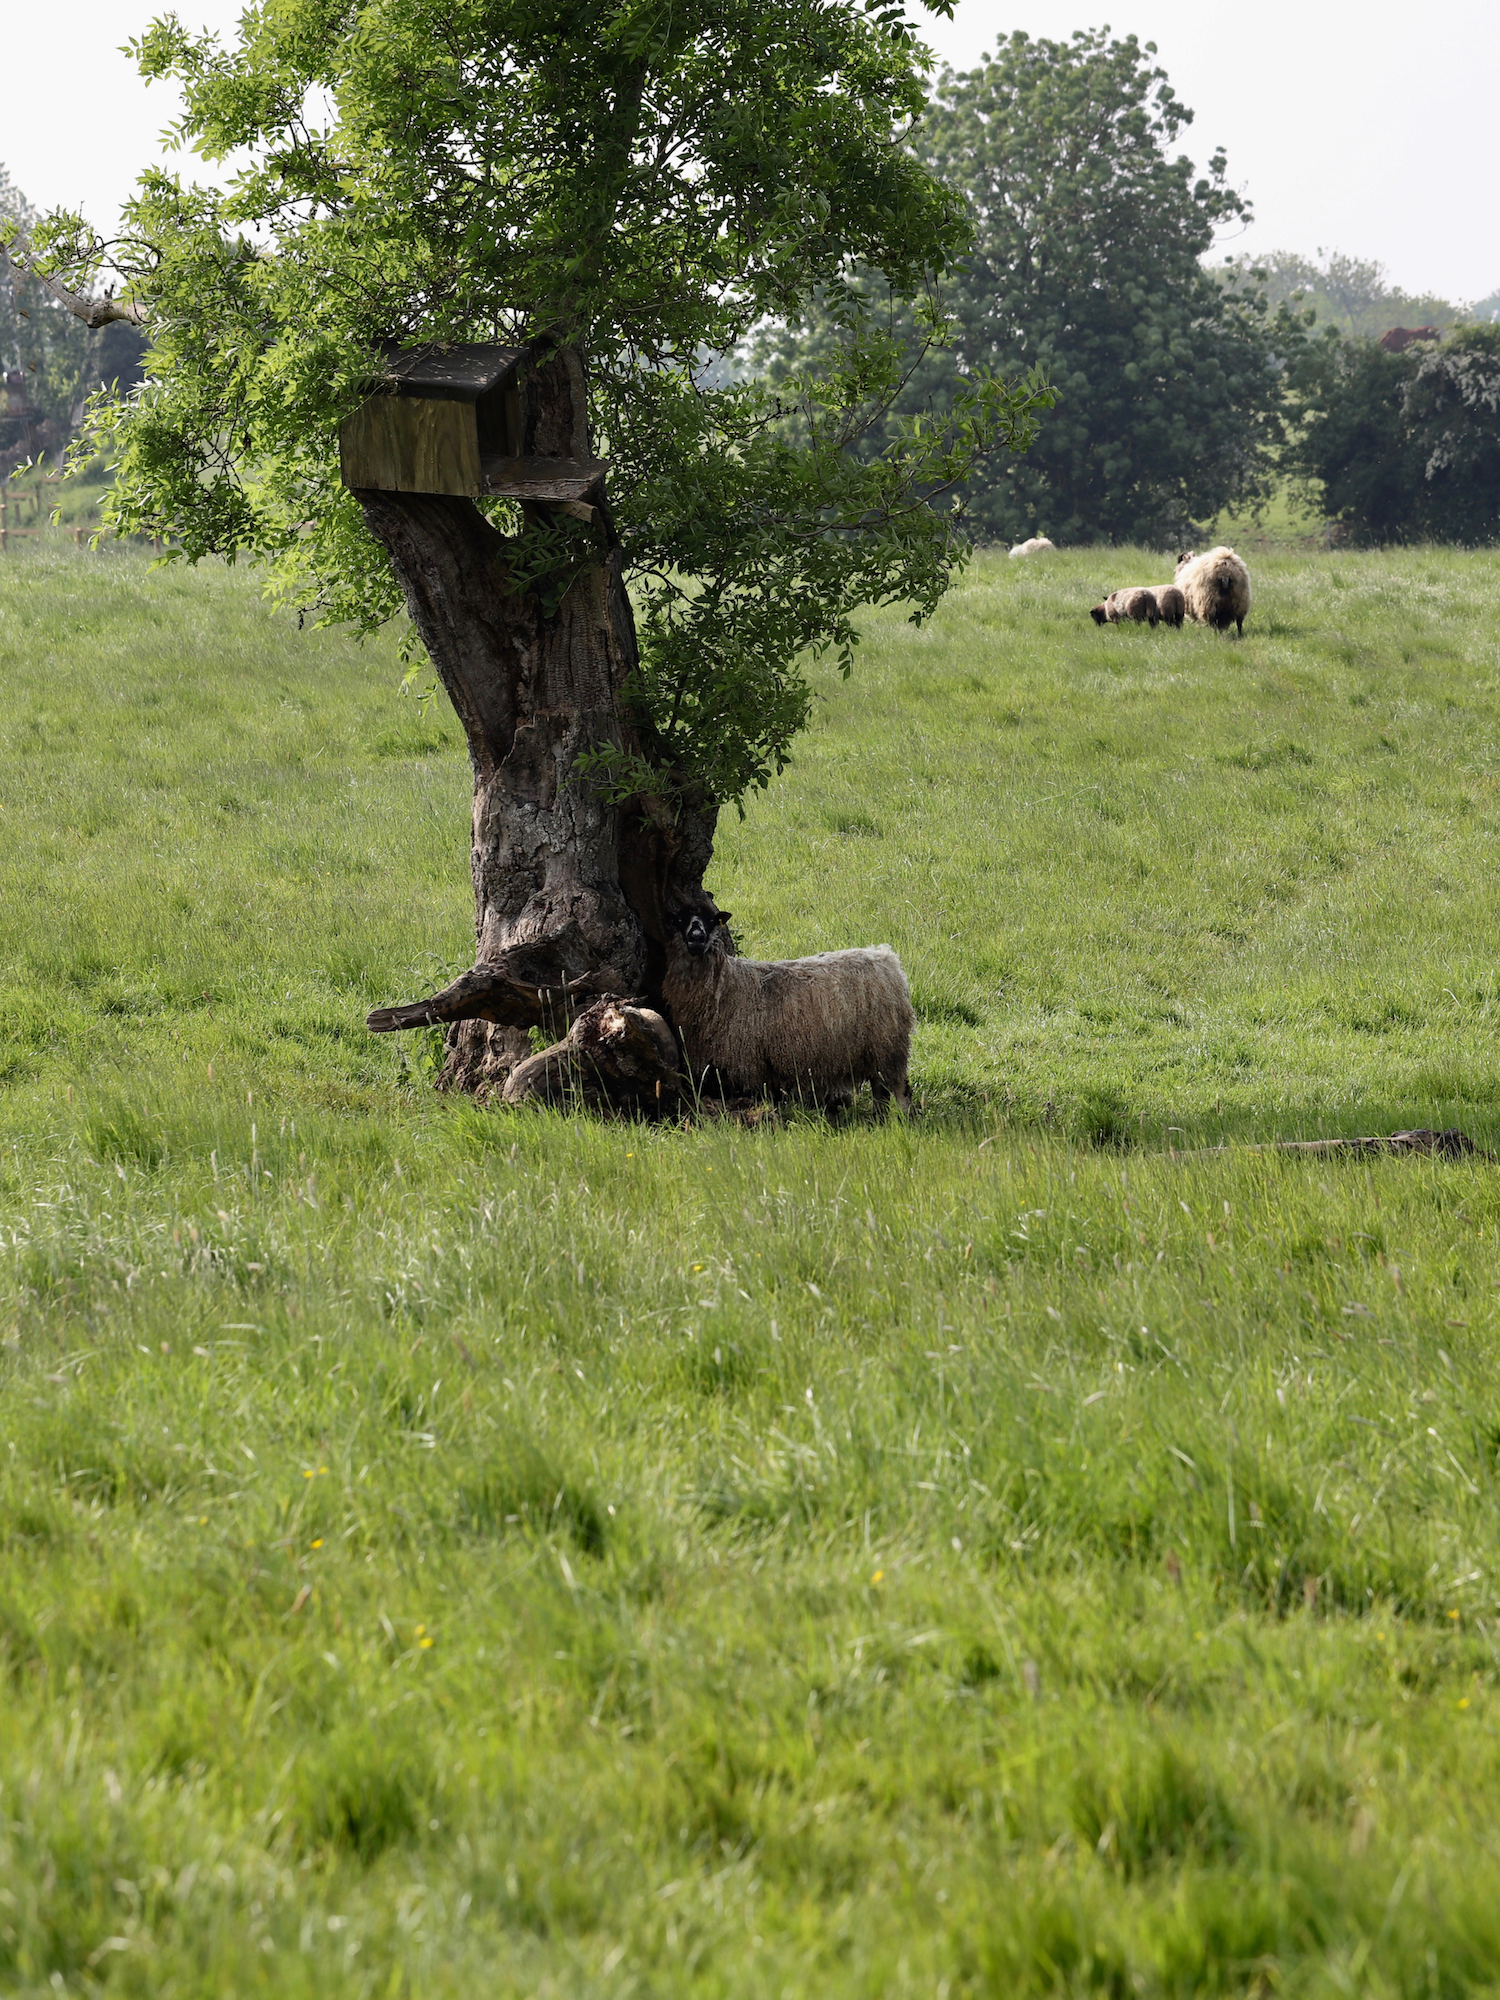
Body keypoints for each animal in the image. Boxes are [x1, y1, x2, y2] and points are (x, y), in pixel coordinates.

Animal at [668, 912, 916, 1120]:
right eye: (681, 919)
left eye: (710, 920)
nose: (697, 939)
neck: (728, 983)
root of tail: (888, 959)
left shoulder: (751, 1063)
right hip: (876, 1048)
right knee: (880, 1088)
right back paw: (878, 1119)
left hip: (888, 1044)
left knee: (898, 1088)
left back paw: (906, 1119)